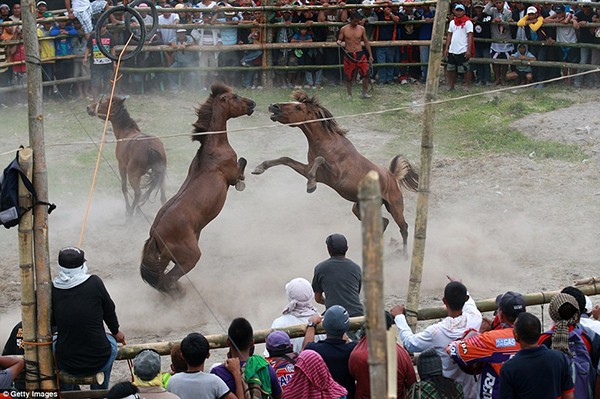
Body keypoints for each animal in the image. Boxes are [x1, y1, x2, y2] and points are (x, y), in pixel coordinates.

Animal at [139, 83, 254, 292]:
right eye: (234, 97)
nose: (252, 104)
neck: (213, 149)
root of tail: (155, 236)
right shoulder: (231, 175)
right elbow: (241, 164)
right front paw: (243, 181)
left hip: (171, 259)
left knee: (163, 280)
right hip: (189, 258)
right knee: (168, 280)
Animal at [252, 90, 418, 253]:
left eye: (298, 107)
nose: (273, 106)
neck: (327, 143)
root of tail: (392, 176)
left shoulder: (335, 175)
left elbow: (319, 159)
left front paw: (310, 186)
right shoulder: (310, 170)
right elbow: (286, 159)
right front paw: (259, 168)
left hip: (395, 207)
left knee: (403, 227)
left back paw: (404, 254)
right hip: (359, 207)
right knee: (384, 222)